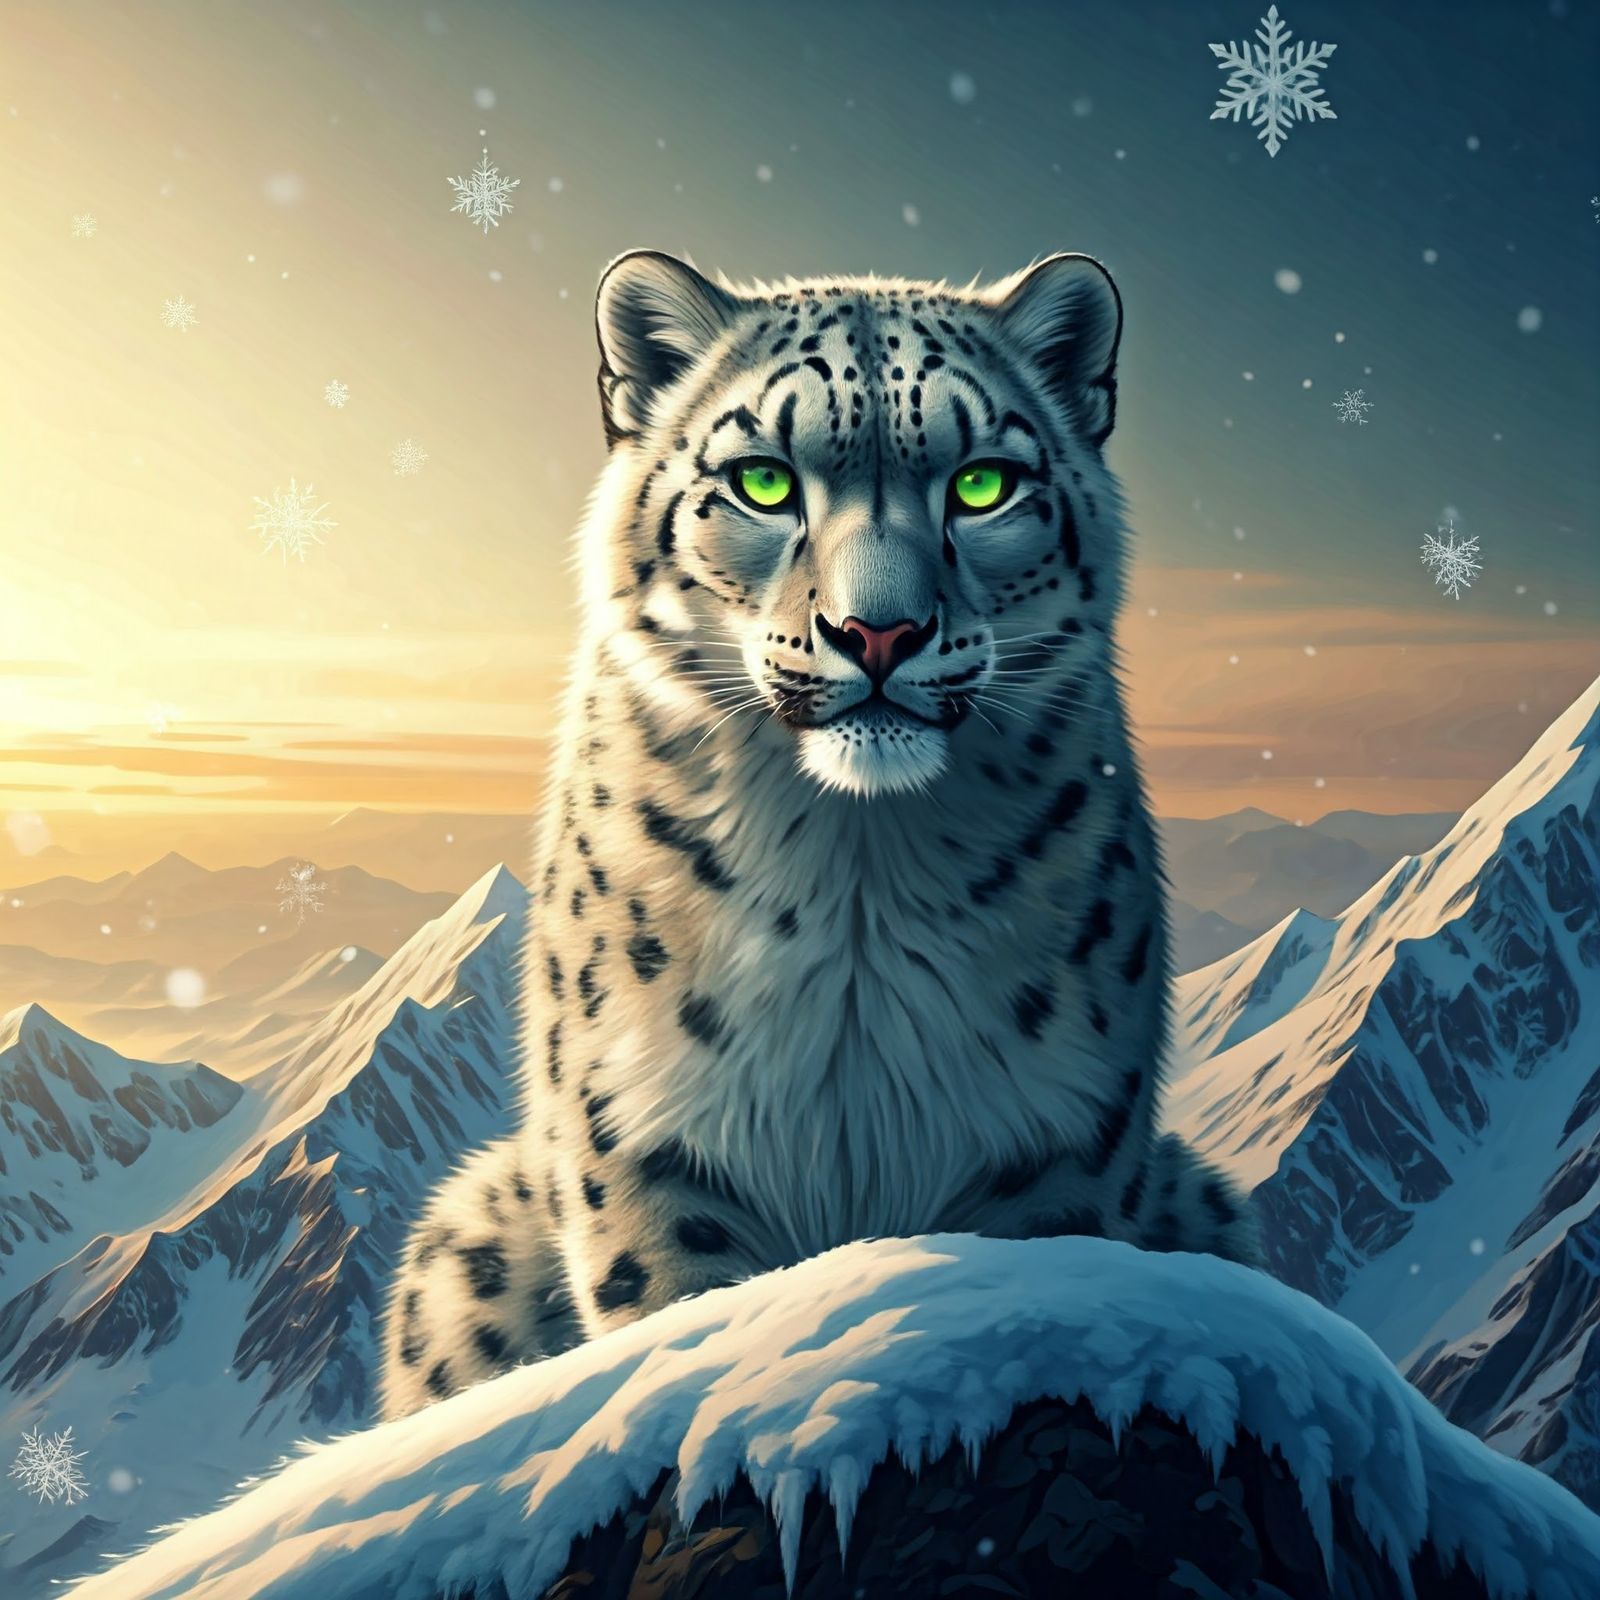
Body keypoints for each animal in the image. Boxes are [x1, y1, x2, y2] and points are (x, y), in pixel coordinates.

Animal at [377, 248, 1258, 1420]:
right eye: (763, 480)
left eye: (981, 484)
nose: (876, 632)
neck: (857, 878)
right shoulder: (652, 1142)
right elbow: (679, 1315)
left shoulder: (1055, 1143)